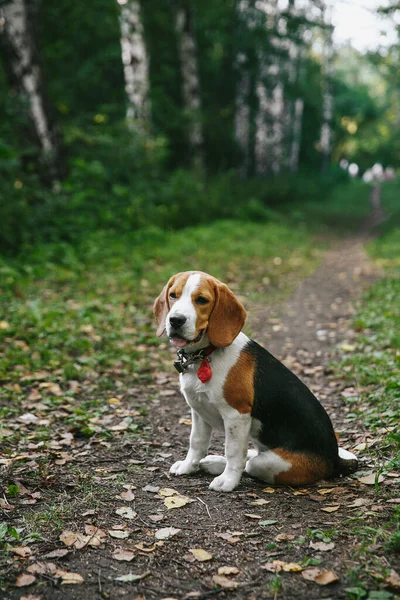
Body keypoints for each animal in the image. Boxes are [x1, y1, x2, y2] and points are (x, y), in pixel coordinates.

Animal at [152, 272, 356, 492]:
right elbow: (196, 442)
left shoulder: (236, 414)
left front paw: (228, 481)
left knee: (249, 463)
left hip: (273, 464)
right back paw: (212, 461)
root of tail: (335, 460)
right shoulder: (198, 410)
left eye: (202, 300)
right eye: (173, 295)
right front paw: (189, 466)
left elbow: (234, 452)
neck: (204, 355)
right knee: (250, 455)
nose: (175, 320)